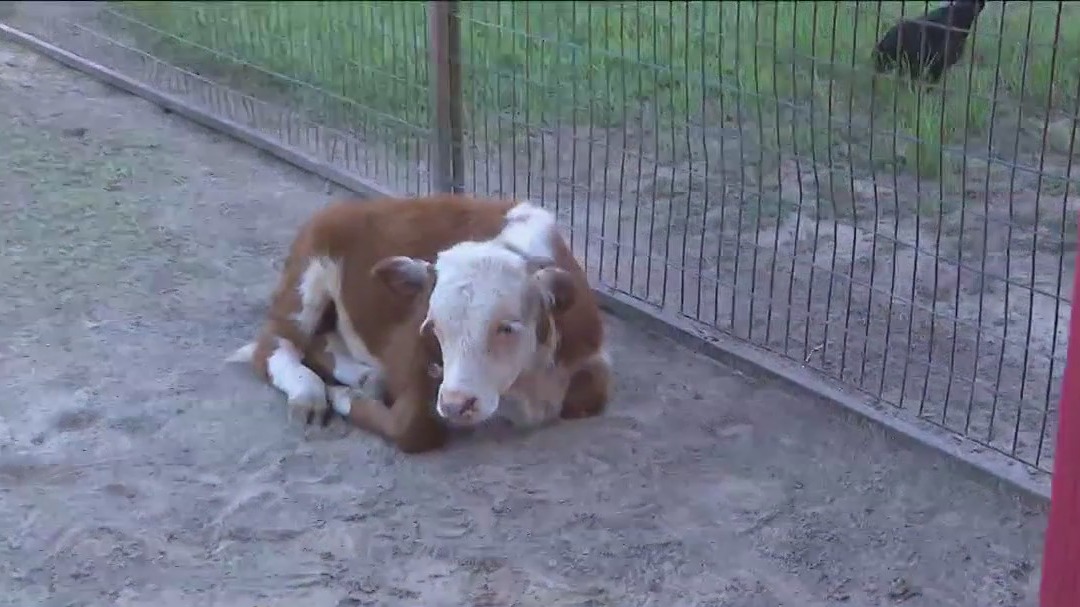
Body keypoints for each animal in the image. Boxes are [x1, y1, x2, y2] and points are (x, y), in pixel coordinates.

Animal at [227, 194, 612, 453]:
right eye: (433, 328)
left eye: (507, 327)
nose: (456, 404)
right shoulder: (407, 351)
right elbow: (413, 430)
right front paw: (339, 394)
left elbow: (591, 394)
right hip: (307, 278)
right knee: (276, 344)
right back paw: (309, 392)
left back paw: (366, 377)